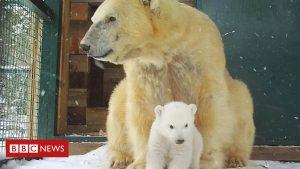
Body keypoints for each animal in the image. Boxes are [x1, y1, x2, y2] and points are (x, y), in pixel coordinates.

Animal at [80, 0, 255, 168]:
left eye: (111, 18)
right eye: (93, 19)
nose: (84, 45)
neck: (166, 46)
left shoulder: (202, 58)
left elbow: (209, 110)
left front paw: (203, 161)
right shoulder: (146, 68)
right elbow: (144, 108)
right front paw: (143, 162)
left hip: (238, 94)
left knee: (243, 110)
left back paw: (236, 159)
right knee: (117, 106)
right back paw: (119, 159)